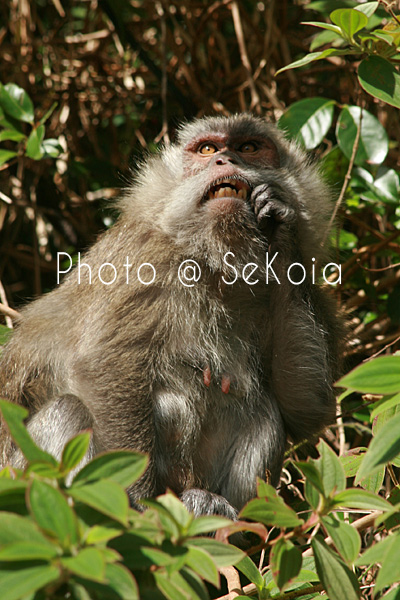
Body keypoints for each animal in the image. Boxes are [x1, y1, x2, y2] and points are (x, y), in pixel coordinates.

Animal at [0, 115, 340, 516]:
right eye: (207, 149)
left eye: (249, 148)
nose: (226, 160)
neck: (214, 263)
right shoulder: (139, 260)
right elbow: (105, 365)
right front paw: (138, 509)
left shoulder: (311, 288)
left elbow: (306, 407)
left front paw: (279, 224)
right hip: (18, 473)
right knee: (71, 411)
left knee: (266, 412)